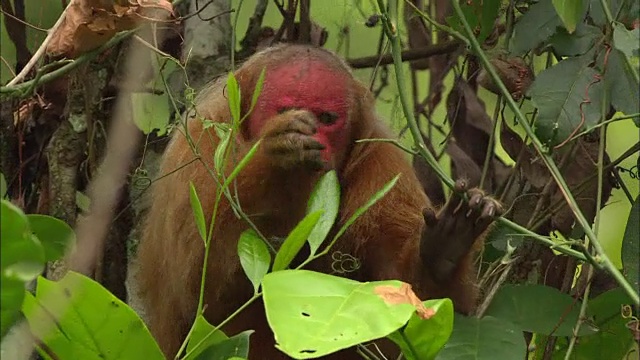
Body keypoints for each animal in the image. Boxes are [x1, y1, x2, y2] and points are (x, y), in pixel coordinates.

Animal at [138, 45, 502, 360]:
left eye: (327, 118)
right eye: (287, 110)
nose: (317, 141)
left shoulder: (381, 162)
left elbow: (410, 303)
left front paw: (443, 251)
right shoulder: (202, 141)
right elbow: (197, 290)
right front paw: (275, 152)